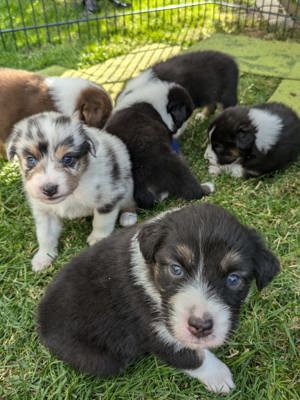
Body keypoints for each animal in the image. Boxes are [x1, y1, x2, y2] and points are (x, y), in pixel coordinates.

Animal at [7, 111, 135, 272]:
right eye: (31, 159)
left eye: (68, 159)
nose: (49, 189)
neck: (73, 190)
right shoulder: (44, 212)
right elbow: (45, 235)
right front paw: (43, 257)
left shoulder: (107, 197)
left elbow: (101, 222)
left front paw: (97, 239)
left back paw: (128, 216)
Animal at [38, 203, 282, 394]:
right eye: (175, 269)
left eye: (233, 279)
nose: (200, 326)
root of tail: (40, 319)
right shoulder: (154, 329)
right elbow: (190, 356)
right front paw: (220, 377)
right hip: (100, 359)